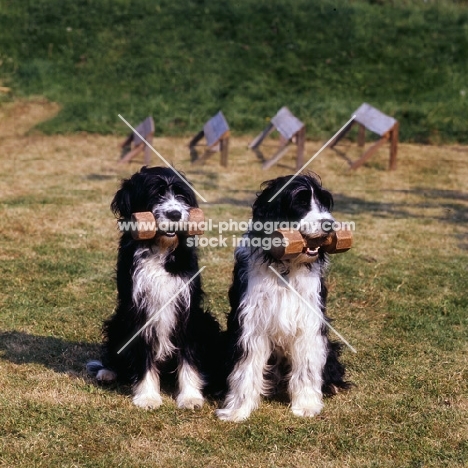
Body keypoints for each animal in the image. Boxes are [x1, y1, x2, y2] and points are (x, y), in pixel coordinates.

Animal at [89, 167, 221, 410]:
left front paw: (190, 396)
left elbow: (188, 356)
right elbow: (143, 355)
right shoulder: (139, 309)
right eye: (156, 194)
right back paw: (108, 371)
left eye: (180, 195)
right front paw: (148, 396)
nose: (175, 214)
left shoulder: (187, 308)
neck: (160, 250)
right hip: (118, 321)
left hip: (207, 321)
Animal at [216, 172, 348, 420]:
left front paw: (306, 405)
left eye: (324, 202)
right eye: (300, 202)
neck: (286, 267)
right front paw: (238, 410)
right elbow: (246, 367)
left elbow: (307, 365)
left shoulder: (309, 320)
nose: (329, 224)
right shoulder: (251, 321)